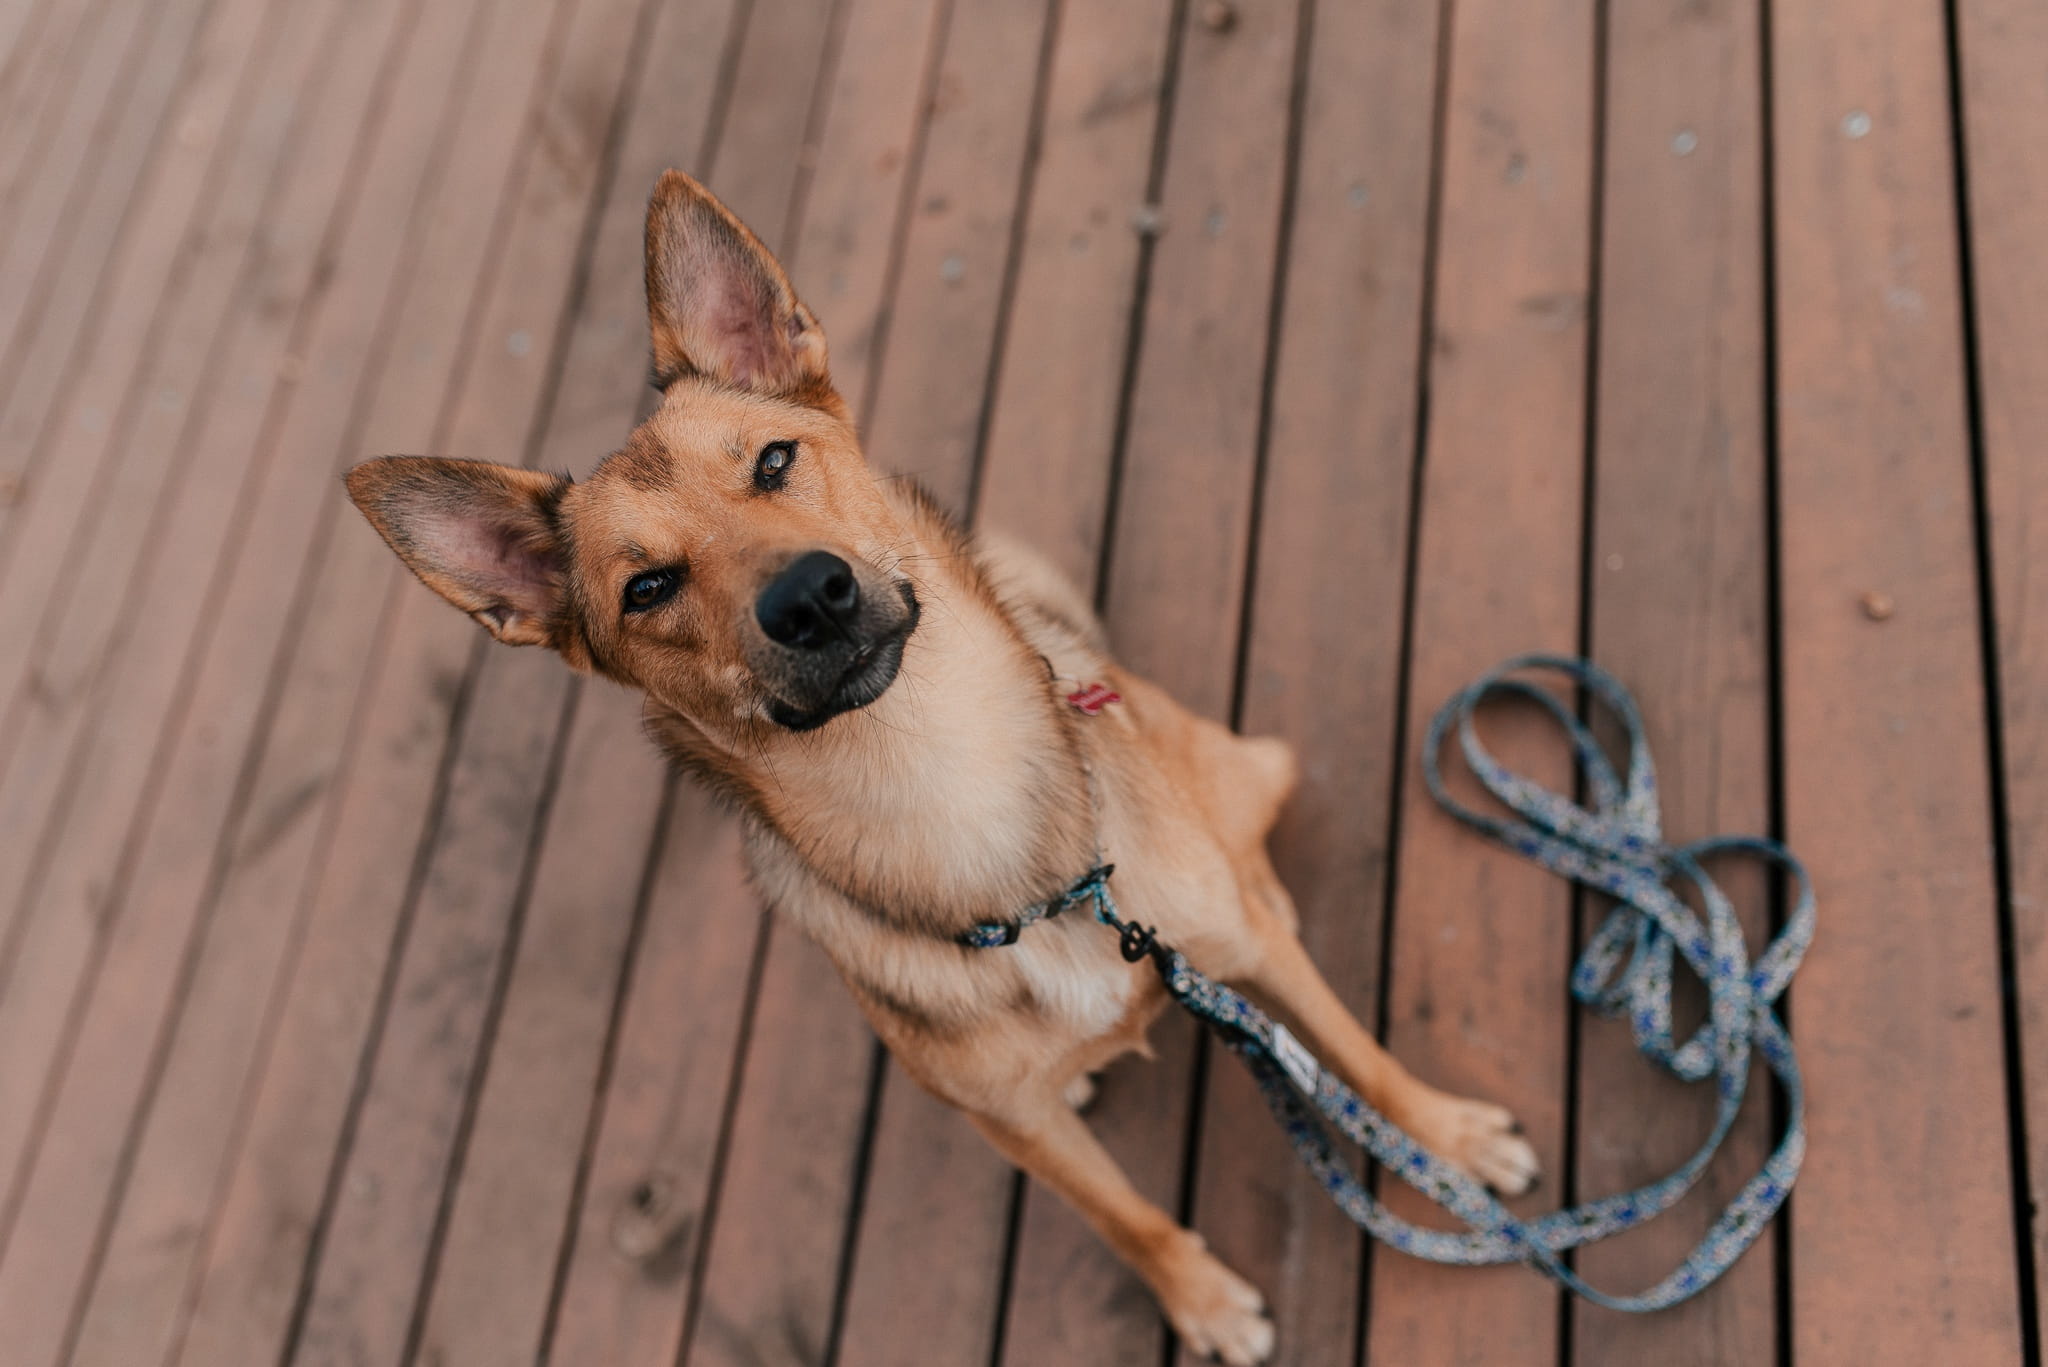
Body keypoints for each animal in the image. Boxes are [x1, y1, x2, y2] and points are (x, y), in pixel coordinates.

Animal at [348, 174, 1540, 1367]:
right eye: (645, 588)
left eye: (773, 460)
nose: (809, 596)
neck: (938, 773)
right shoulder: (1015, 1126)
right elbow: (1125, 1215)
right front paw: (1199, 1298)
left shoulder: (1244, 949)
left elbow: (1352, 1049)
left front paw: (1448, 1136)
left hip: (1244, 777)